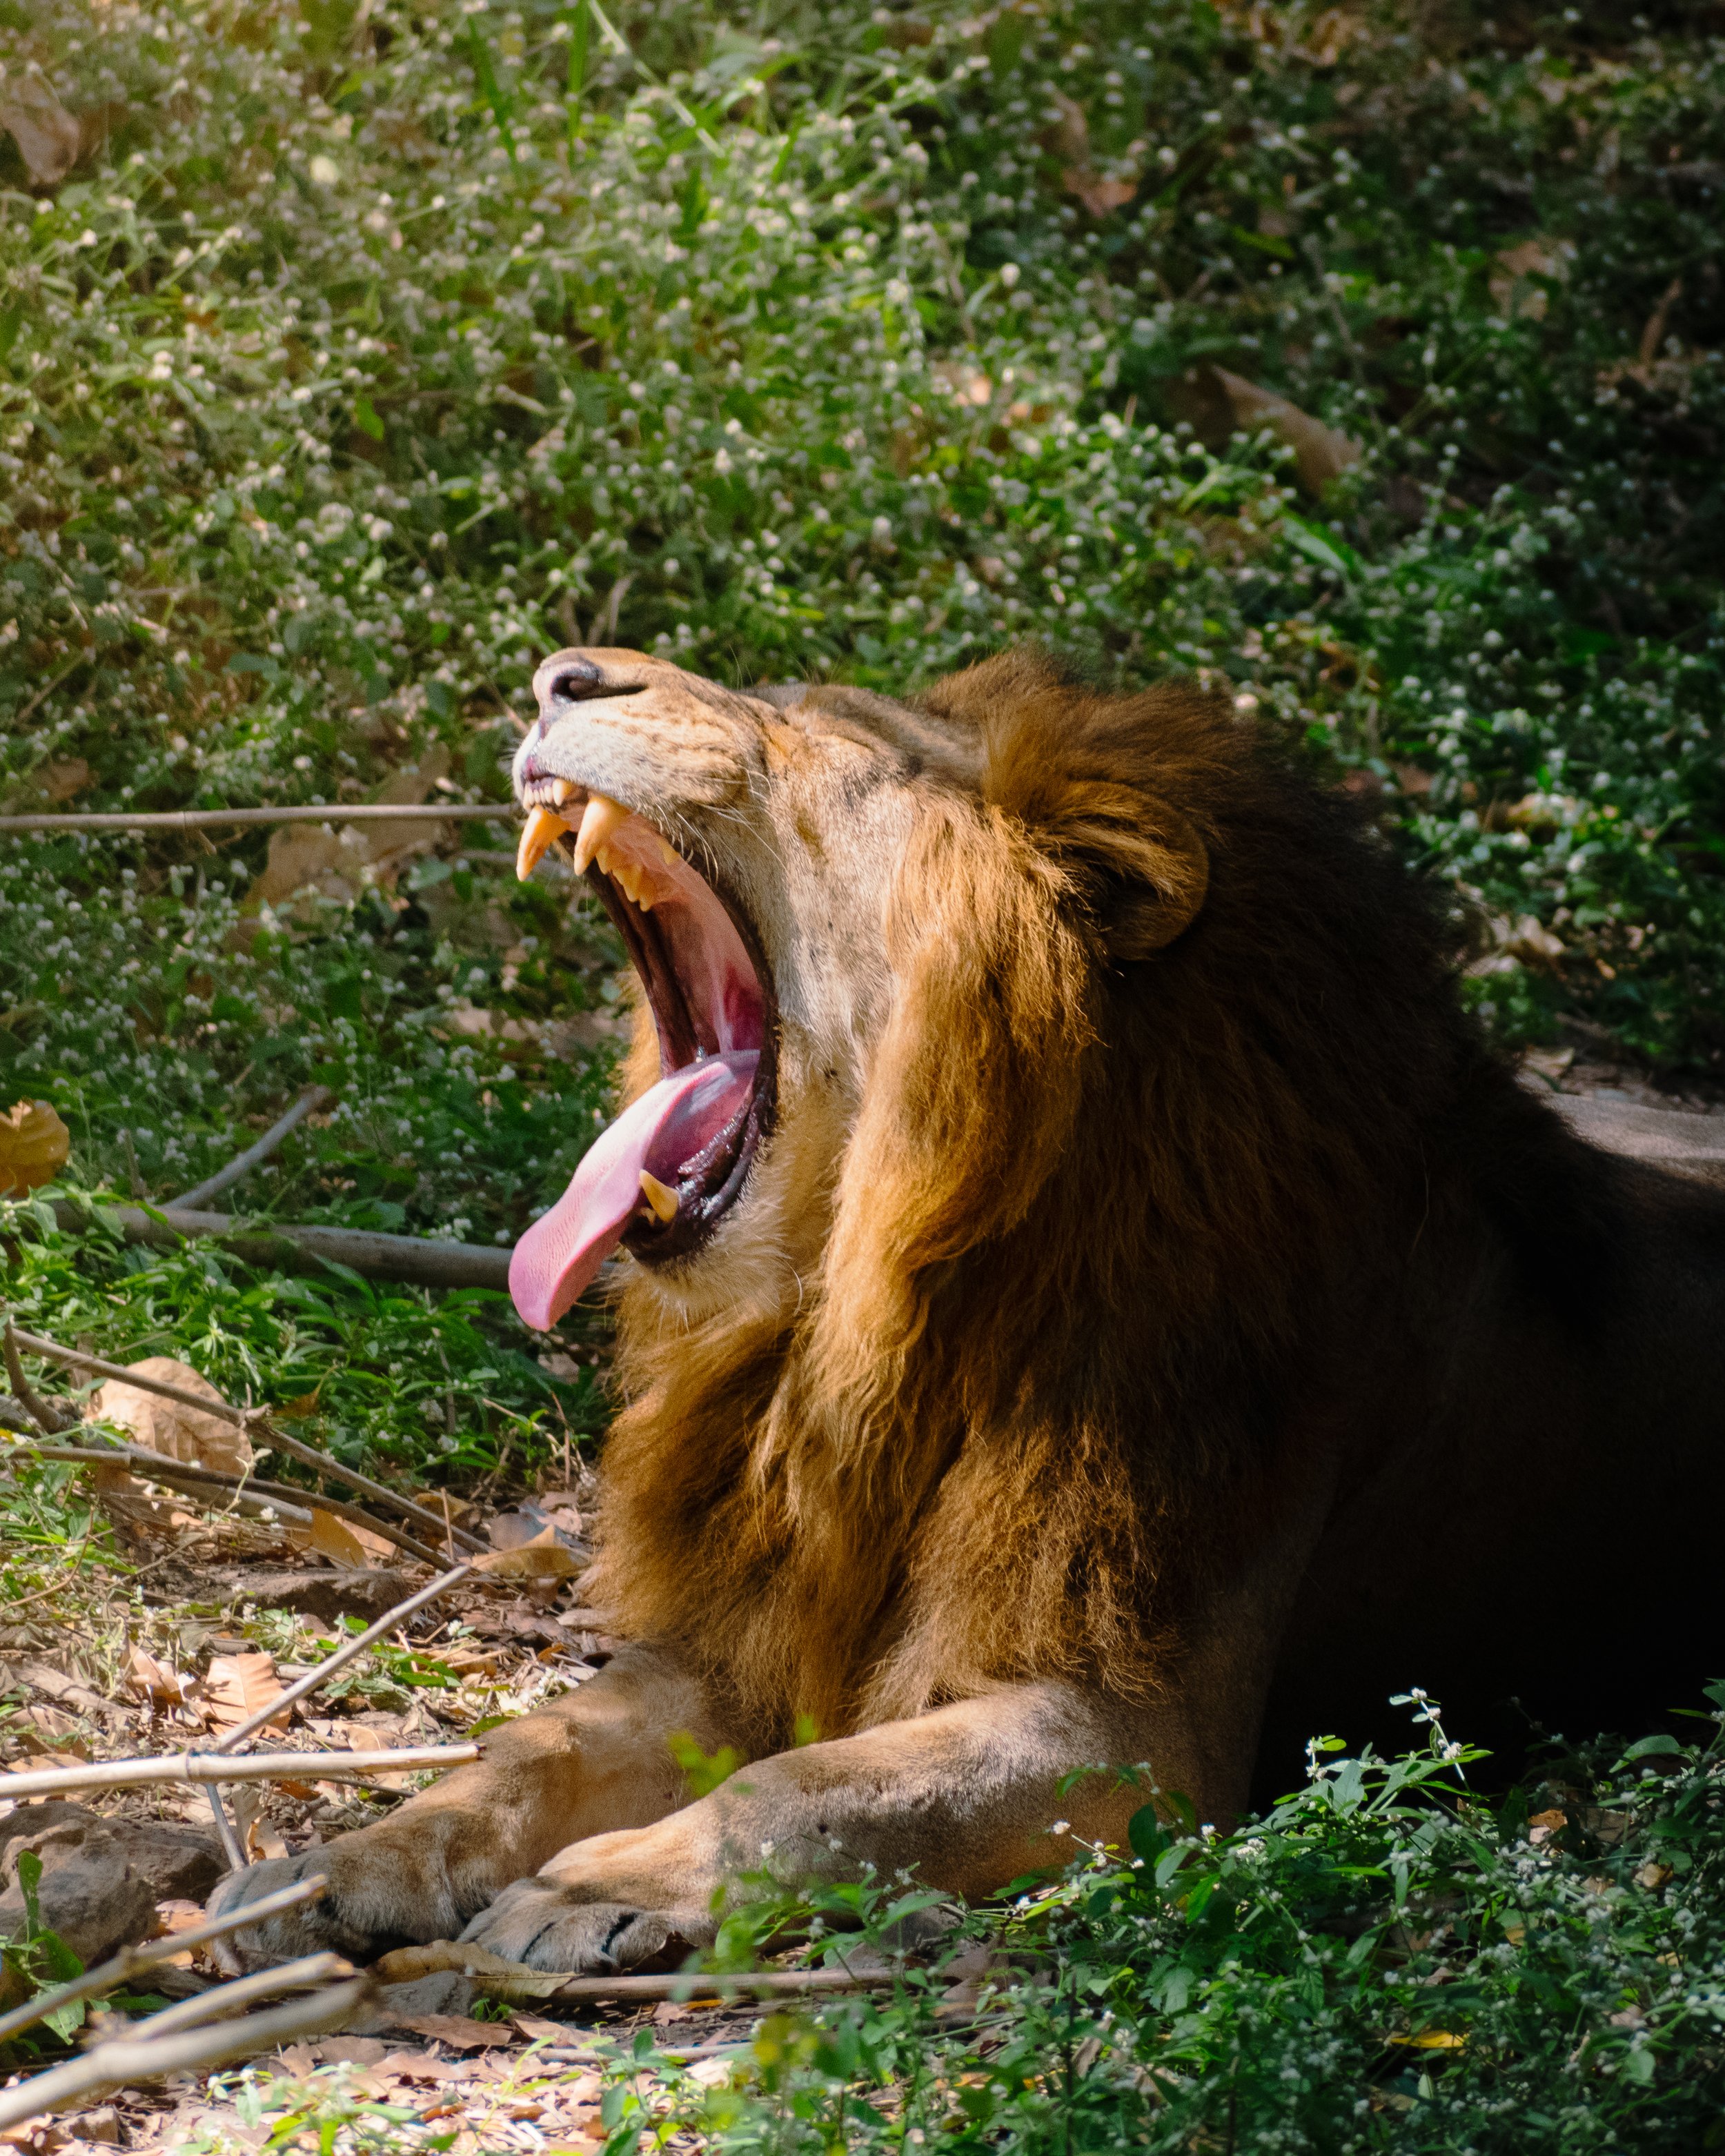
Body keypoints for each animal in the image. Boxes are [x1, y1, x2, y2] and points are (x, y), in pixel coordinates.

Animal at [213, 644, 1725, 1972]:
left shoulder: (1130, 1733)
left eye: (818, 735)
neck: (887, 1309)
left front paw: (597, 1887)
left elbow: (806, 1790)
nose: (555, 677)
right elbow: (542, 1741)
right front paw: (345, 1855)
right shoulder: (756, 1627)